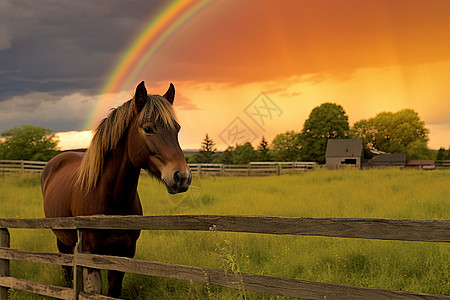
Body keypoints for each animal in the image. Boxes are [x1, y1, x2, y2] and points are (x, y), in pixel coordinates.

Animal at [40, 81, 192, 296]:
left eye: (177, 129)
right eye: (148, 129)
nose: (182, 176)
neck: (110, 200)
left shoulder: (124, 253)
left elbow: (113, 291)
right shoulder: (89, 253)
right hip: (62, 241)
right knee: (67, 273)